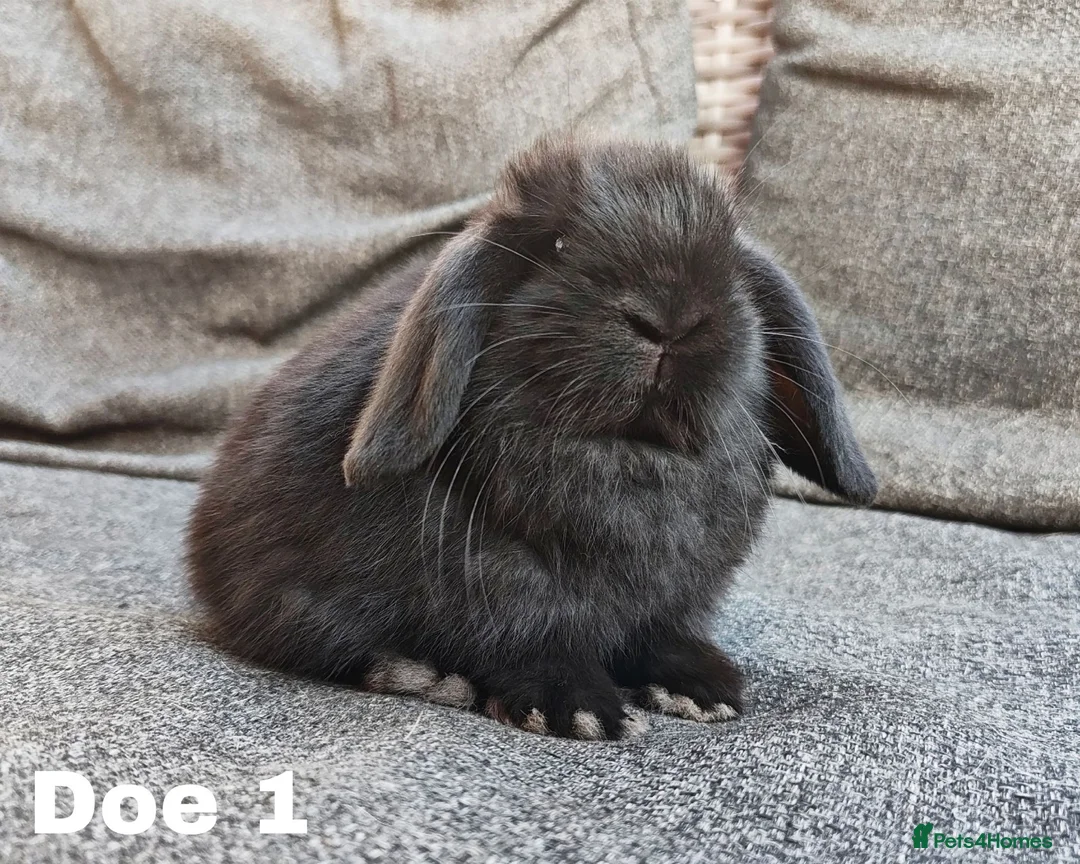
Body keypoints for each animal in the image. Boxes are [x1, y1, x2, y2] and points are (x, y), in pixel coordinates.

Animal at [186, 136, 876, 741]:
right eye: (557, 244)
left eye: (728, 266)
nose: (672, 318)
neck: (626, 456)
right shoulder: (497, 591)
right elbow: (528, 639)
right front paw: (579, 710)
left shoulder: (675, 595)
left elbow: (660, 636)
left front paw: (701, 689)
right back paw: (424, 676)